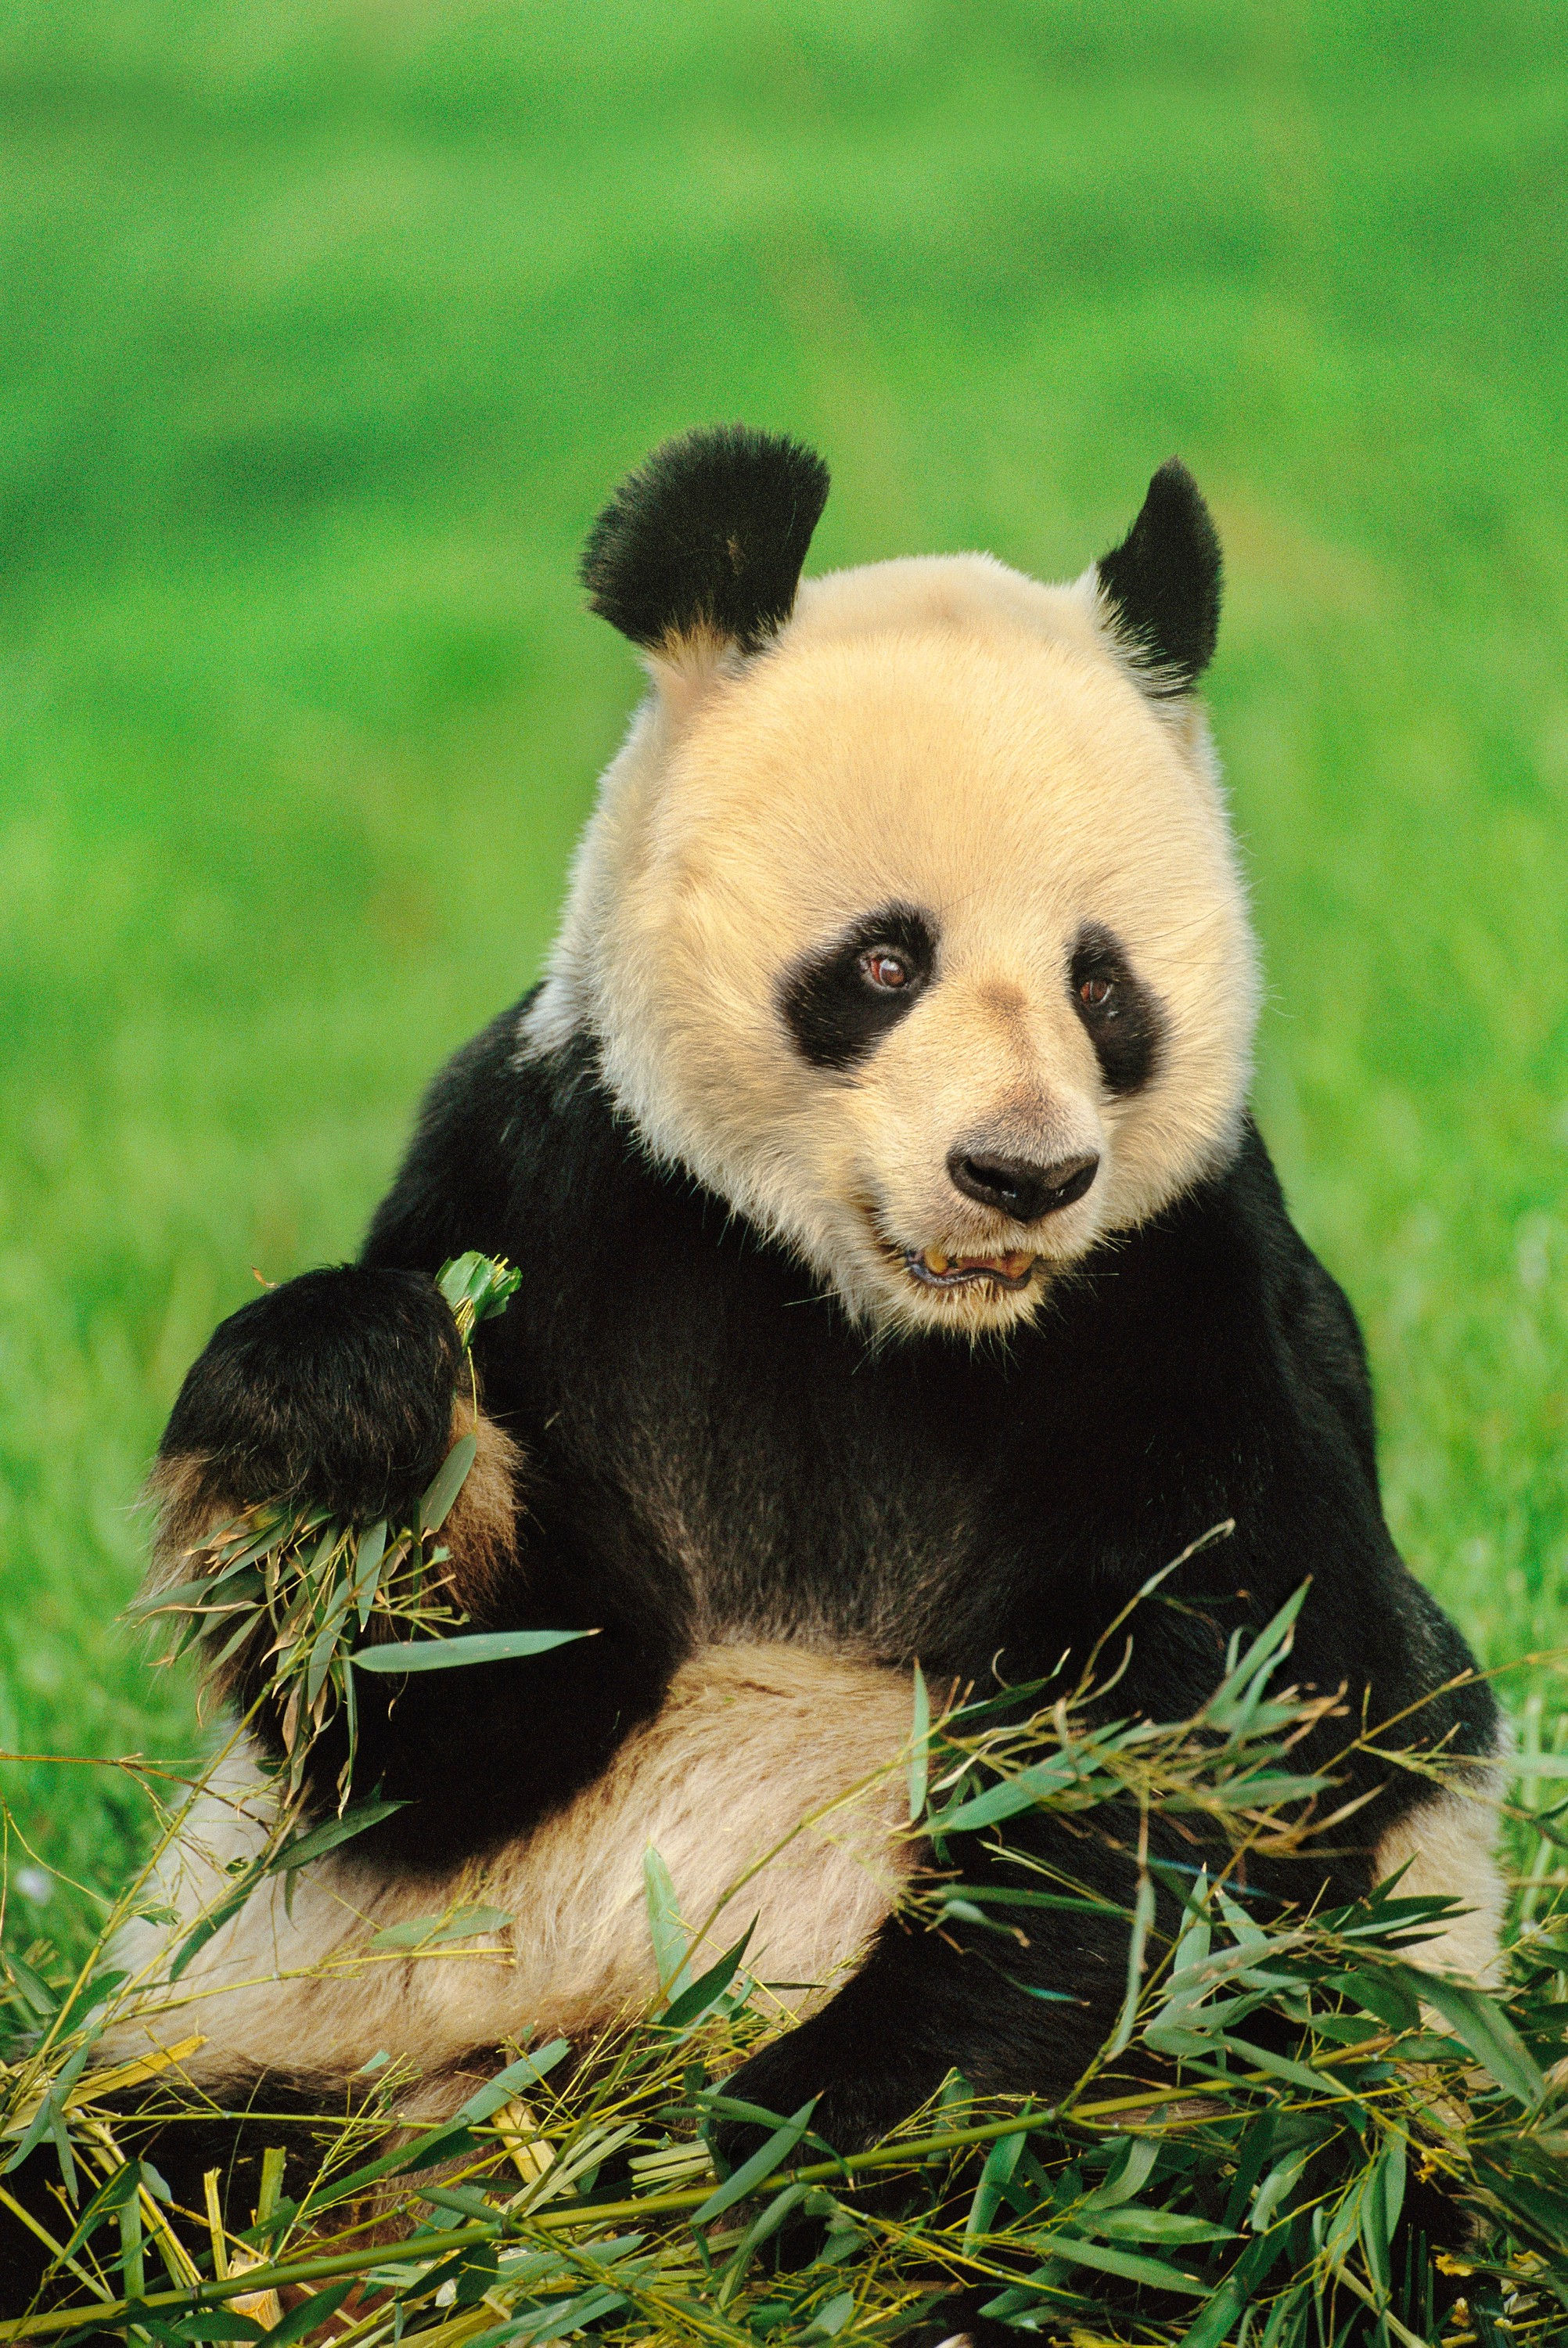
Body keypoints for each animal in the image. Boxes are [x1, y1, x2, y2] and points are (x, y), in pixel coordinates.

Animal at [58, 428, 1508, 2218]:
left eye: (1102, 986)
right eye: (883, 962)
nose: (1018, 1175)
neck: (875, 1312)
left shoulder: (1187, 1284)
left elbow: (1230, 1714)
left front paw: (826, 2117)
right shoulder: (561, 1188)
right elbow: (446, 1722)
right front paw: (348, 1404)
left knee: (1288, 2173)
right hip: (301, 2036)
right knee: (127, 2169)